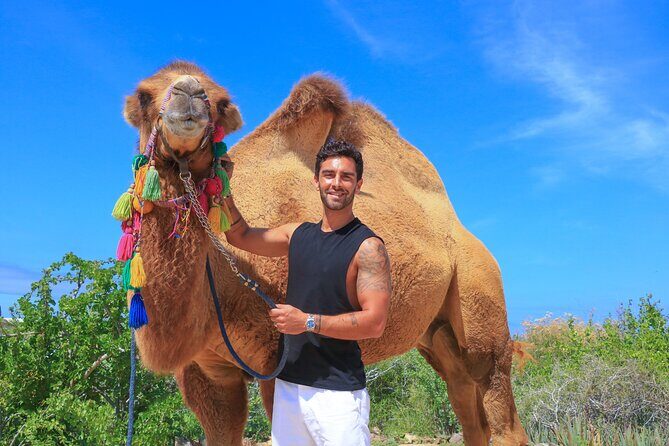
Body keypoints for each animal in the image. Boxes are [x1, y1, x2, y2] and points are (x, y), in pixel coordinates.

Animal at [120, 61, 529, 446]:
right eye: (143, 96)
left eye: (220, 104)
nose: (189, 93)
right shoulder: (205, 374)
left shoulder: (275, 358)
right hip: (438, 338)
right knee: (467, 405)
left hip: (480, 298)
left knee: (499, 400)